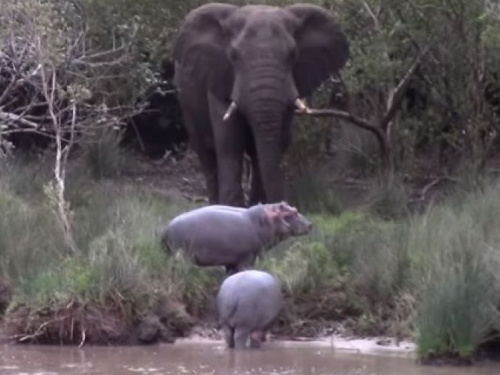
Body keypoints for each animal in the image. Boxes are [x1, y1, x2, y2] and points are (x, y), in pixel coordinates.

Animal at [162, 203, 312, 276]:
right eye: (293, 212)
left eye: (294, 208)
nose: (310, 224)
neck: (265, 221)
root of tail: (167, 228)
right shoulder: (246, 257)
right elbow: (245, 270)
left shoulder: (232, 260)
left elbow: (230, 273)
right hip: (182, 256)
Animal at [174, 2, 350, 207]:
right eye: (233, 55)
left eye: (293, 55)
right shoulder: (219, 76)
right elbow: (229, 141)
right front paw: (233, 208)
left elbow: (274, 142)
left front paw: (256, 206)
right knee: (206, 153)